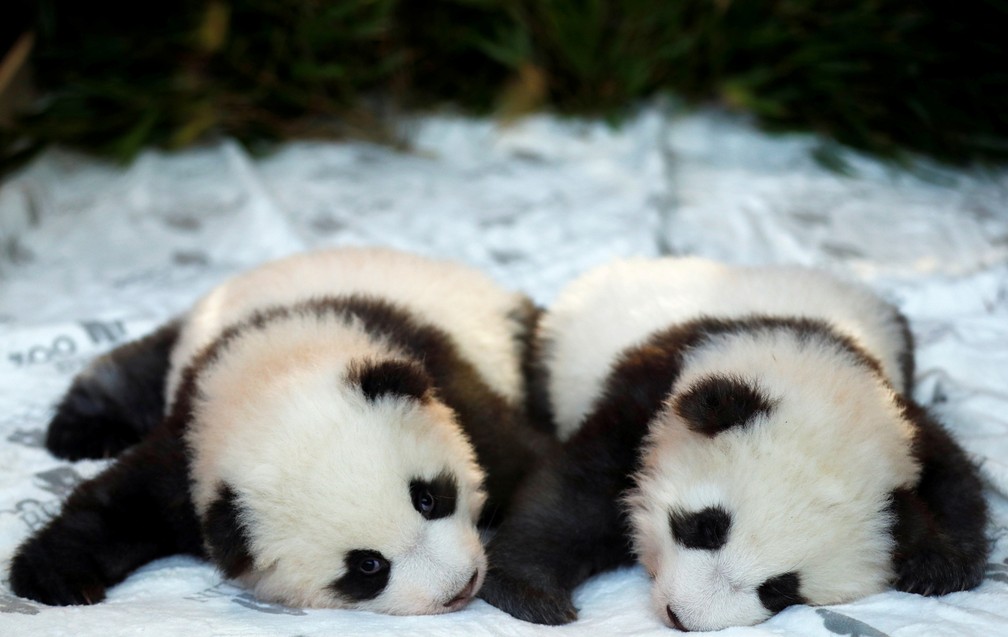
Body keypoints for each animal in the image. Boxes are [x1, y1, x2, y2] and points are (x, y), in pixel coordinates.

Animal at [9, 247, 553, 615]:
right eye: (367, 567)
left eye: (428, 498)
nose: (460, 586)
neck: (275, 361)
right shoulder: (191, 440)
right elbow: (120, 504)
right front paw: (49, 577)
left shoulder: (443, 375)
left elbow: (529, 466)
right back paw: (78, 430)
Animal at [479, 256, 989, 631]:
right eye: (705, 526)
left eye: (780, 588)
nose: (681, 616)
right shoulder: (654, 392)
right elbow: (576, 493)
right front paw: (531, 592)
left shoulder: (899, 416)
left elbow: (953, 476)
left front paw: (940, 563)